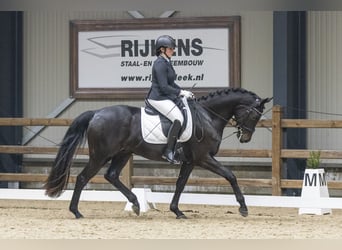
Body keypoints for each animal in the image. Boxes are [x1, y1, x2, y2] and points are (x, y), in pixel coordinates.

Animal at [44, 87, 272, 219]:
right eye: (255, 115)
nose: (245, 138)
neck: (207, 117)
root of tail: (96, 113)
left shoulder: (190, 161)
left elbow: (180, 184)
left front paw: (177, 211)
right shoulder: (204, 158)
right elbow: (230, 175)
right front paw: (243, 208)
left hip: (123, 153)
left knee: (112, 175)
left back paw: (136, 204)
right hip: (101, 155)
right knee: (83, 177)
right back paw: (76, 212)